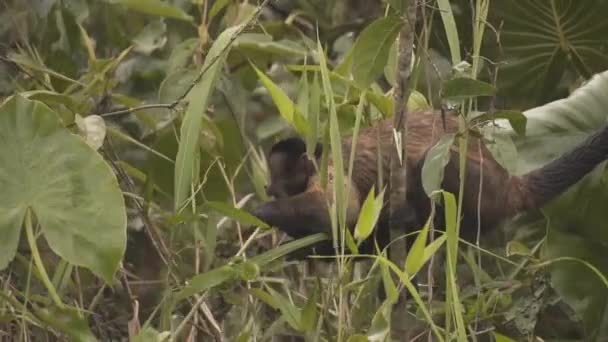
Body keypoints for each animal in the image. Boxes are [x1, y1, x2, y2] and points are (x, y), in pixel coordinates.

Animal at [251, 110, 608, 256]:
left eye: (277, 177)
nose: (268, 188)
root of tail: (511, 184)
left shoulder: (330, 170)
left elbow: (343, 211)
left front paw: (260, 212)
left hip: (487, 189)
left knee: (431, 163)